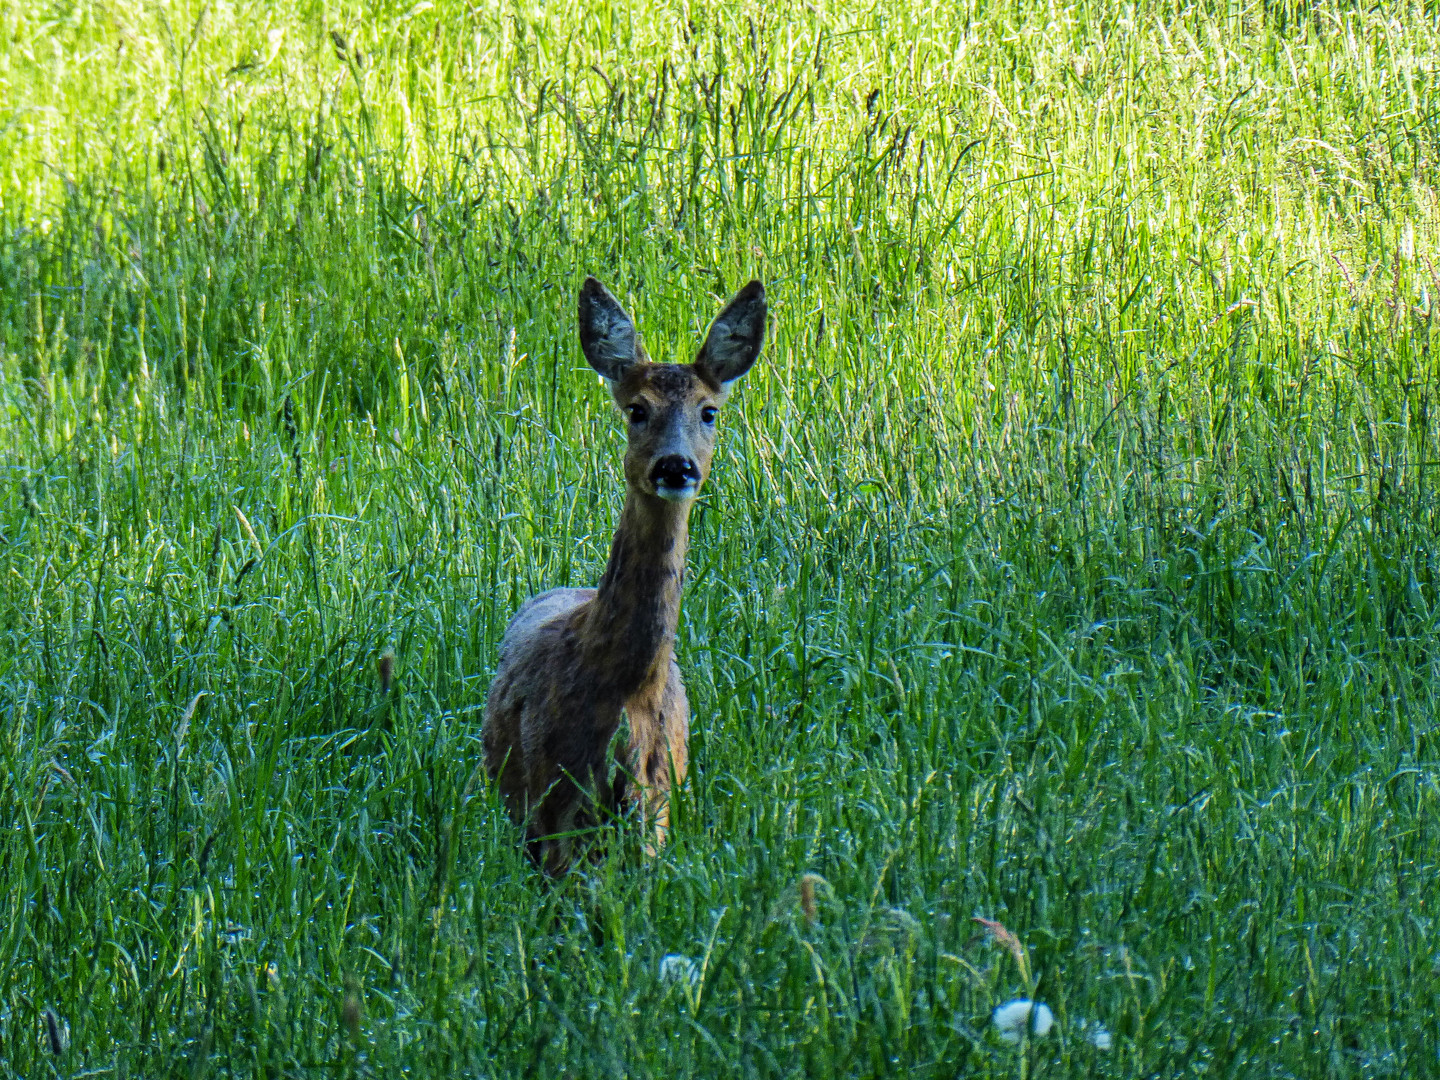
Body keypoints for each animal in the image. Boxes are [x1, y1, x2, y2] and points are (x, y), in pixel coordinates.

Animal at [480, 275, 766, 875]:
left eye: (708, 411)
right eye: (637, 409)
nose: (676, 466)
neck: (624, 688)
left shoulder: (656, 801)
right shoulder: (554, 797)